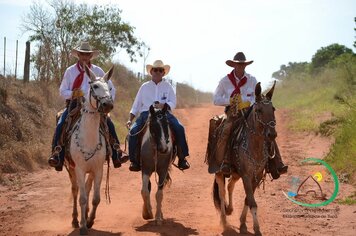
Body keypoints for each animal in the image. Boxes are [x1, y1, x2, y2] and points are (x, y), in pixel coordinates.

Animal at [65, 65, 112, 235]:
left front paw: (90, 220)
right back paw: (74, 219)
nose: (108, 105)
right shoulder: (79, 169)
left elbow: (95, 198)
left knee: (87, 187)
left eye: (110, 87)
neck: (88, 139)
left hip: (90, 171)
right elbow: (82, 198)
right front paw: (83, 226)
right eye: (95, 86)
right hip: (71, 168)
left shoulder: (98, 169)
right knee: (75, 190)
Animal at [213, 81, 276, 236]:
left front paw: (243, 223)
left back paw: (230, 209)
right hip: (219, 172)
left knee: (230, 185)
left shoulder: (257, 175)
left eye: (273, 109)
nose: (272, 134)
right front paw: (257, 228)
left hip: (236, 173)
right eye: (259, 110)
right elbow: (252, 202)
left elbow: (248, 199)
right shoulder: (247, 175)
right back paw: (223, 220)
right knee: (222, 192)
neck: (254, 147)